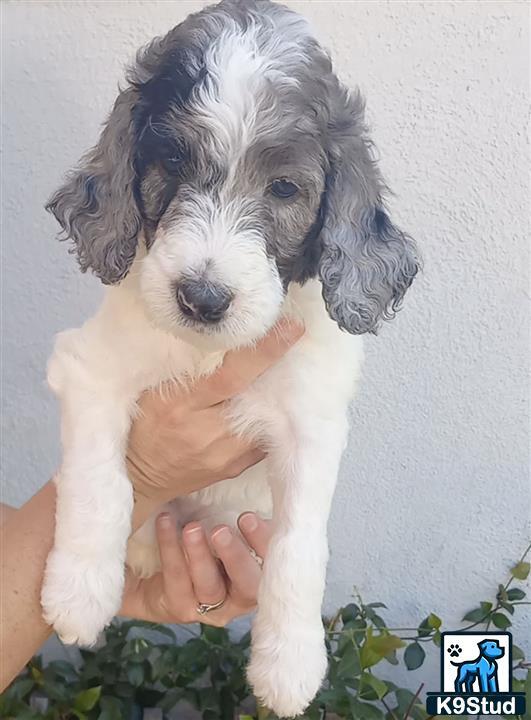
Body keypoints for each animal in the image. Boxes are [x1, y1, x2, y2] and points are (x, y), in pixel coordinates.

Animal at [41, 0, 420, 716]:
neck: (209, 355)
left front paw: (289, 665)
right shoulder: (90, 368)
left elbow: (300, 546)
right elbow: (100, 483)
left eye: (284, 189)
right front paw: (77, 593)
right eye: (171, 162)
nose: (203, 298)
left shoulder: (312, 427)